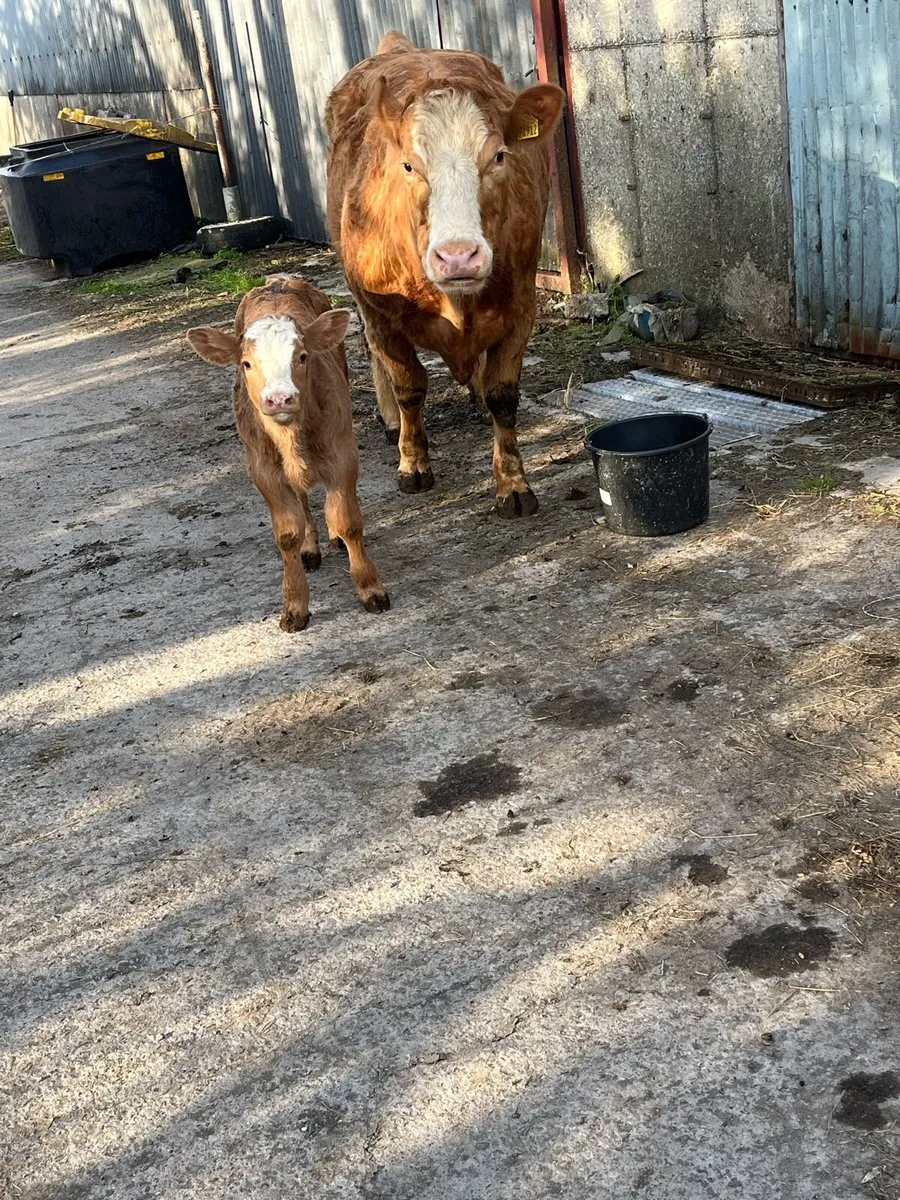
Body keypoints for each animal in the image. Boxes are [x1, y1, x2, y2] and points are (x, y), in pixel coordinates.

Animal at [186, 275, 390, 632]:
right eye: (246, 363)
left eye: (303, 357)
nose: (280, 398)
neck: (291, 436)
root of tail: (278, 280)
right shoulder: (263, 471)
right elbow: (287, 534)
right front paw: (295, 605)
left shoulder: (343, 453)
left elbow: (347, 519)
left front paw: (370, 587)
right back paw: (310, 547)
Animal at [326, 31, 565, 518]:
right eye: (408, 165)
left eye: (499, 157)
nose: (458, 258)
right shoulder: (380, 312)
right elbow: (409, 386)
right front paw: (412, 463)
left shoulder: (521, 306)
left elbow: (503, 395)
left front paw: (513, 483)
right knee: (369, 349)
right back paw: (389, 421)